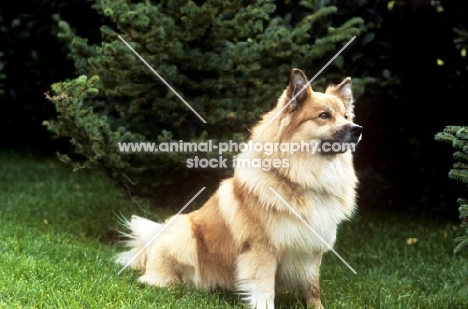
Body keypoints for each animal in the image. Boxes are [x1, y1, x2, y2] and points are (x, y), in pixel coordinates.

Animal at [118, 68, 362, 308]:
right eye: (324, 116)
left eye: (346, 117)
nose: (358, 129)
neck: (299, 178)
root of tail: (148, 245)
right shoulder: (262, 249)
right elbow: (264, 290)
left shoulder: (311, 250)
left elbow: (312, 287)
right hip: (183, 232)